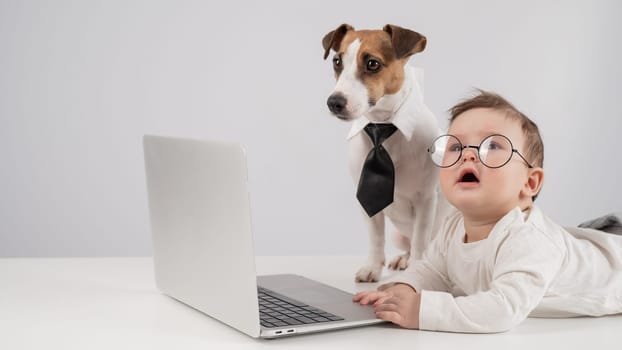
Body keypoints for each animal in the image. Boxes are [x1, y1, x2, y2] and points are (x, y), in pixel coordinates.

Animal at [324, 23, 450, 282]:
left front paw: (416, 270)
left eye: (372, 63)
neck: (382, 126)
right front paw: (373, 267)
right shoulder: (365, 198)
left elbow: (420, 238)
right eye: (337, 61)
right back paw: (403, 258)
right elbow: (376, 236)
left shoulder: (426, 199)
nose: (334, 102)